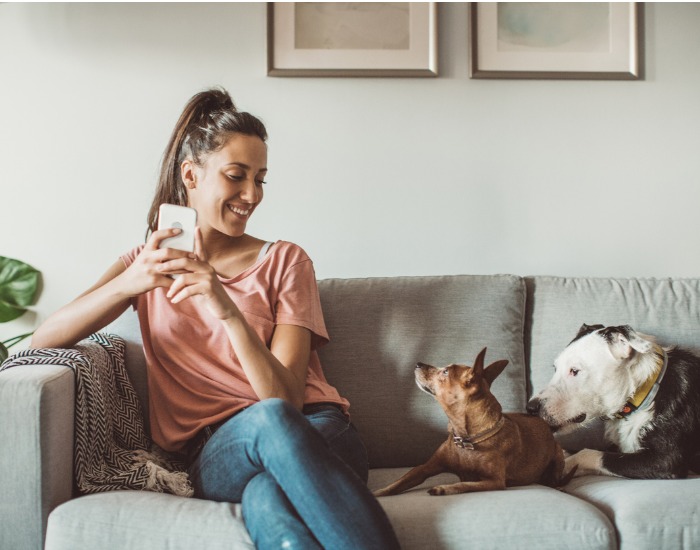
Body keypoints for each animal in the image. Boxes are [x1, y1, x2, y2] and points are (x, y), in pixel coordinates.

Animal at [528, 326, 700, 480]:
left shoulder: (665, 460)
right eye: (555, 368)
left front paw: (562, 466)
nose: (530, 407)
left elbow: (589, 453)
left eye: (575, 371)